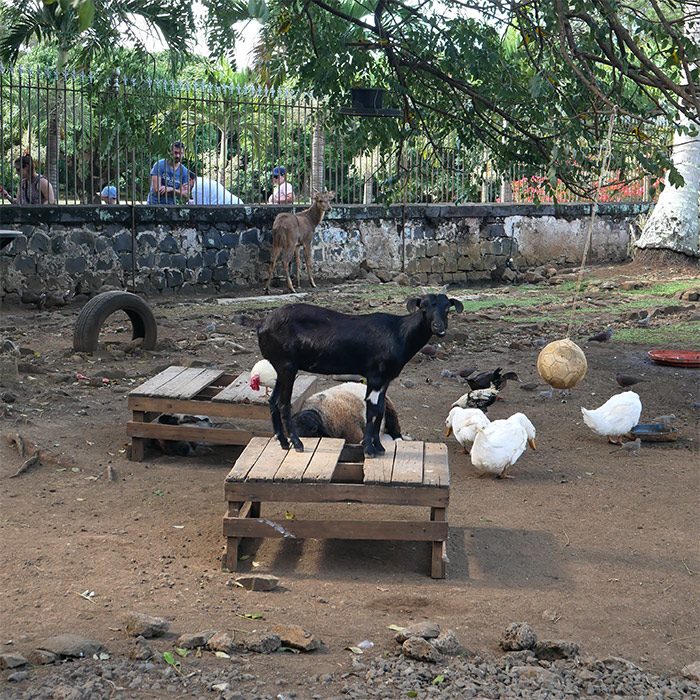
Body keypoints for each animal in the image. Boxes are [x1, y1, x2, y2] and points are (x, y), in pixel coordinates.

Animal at [258, 292, 464, 456]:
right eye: (423, 307)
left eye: (448, 307)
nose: (439, 327)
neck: (398, 333)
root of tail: (262, 326)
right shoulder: (374, 376)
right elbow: (371, 411)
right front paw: (369, 448)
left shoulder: (385, 379)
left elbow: (380, 410)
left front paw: (379, 447)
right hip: (287, 366)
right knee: (283, 403)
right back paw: (297, 443)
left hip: (280, 367)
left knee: (273, 400)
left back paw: (283, 442)